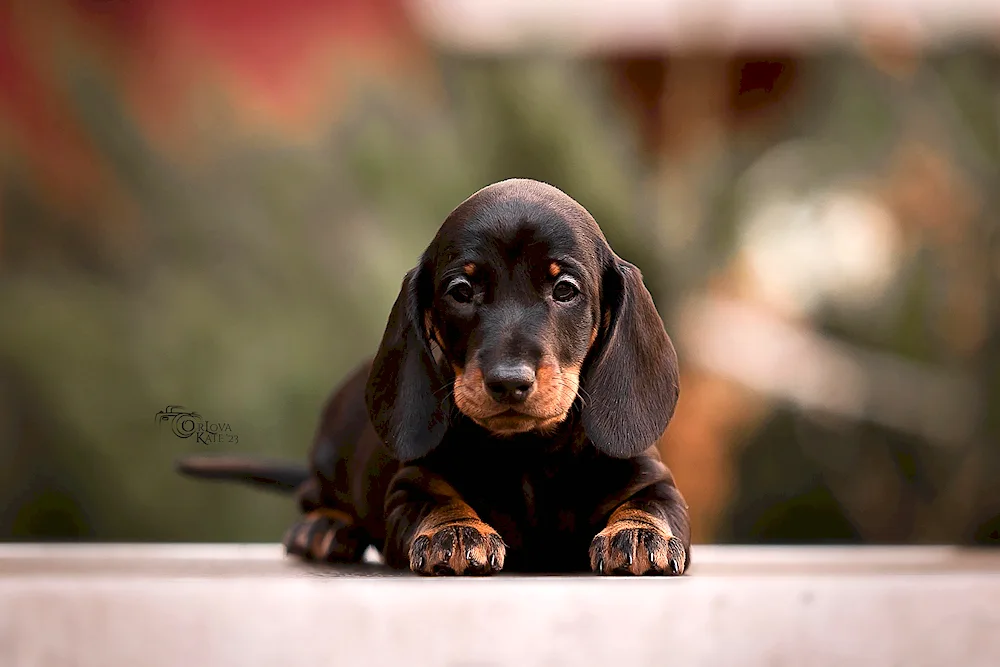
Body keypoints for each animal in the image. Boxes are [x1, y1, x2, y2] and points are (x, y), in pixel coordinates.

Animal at [178, 177, 688, 576]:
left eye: (565, 288)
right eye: (461, 290)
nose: (508, 381)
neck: (527, 451)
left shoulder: (654, 477)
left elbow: (653, 502)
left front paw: (641, 533)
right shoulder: (409, 486)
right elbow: (433, 499)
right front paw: (456, 531)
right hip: (328, 457)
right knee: (312, 496)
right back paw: (325, 525)